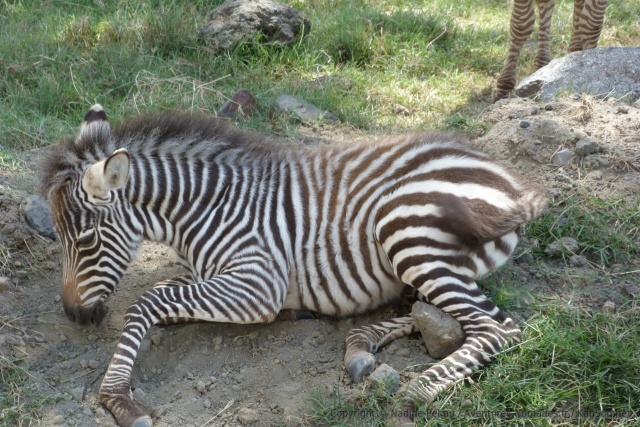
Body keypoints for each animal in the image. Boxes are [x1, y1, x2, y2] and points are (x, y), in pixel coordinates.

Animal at [41, 105, 547, 427]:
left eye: (85, 241)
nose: (73, 315)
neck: (203, 209)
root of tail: (510, 182)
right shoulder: (207, 277)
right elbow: (160, 301)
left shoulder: (256, 284)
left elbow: (146, 300)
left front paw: (117, 398)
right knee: (434, 313)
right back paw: (360, 346)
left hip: (404, 232)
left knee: (497, 328)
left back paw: (416, 391)